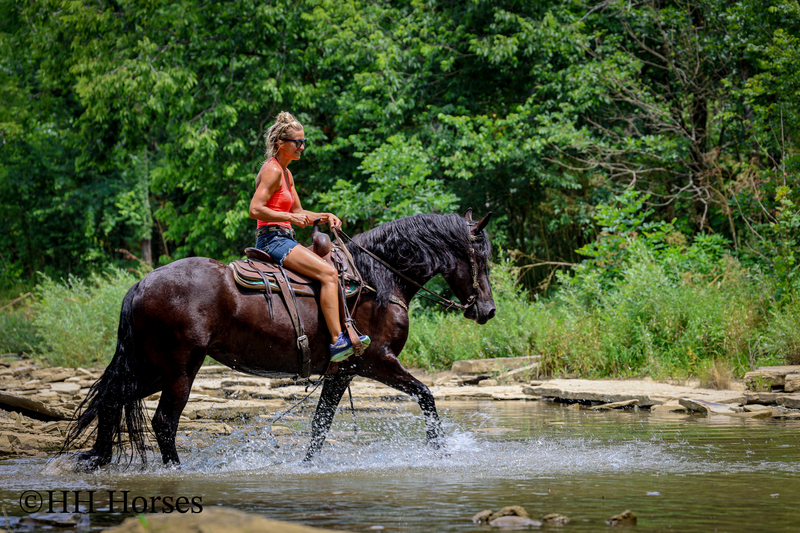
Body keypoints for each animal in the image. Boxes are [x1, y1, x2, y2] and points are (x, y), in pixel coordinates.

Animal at [62, 210, 495, 469]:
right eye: (482, 259)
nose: (487, 310)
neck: (379, 279)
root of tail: (141, 285)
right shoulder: (377, 361)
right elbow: (427, 396)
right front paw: (439, 451)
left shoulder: (341, 373)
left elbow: (321, 425)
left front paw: (307, 465)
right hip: (179, 369)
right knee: (164, 422)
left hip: (153, 367)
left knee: (111, 400)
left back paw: (100, 459)